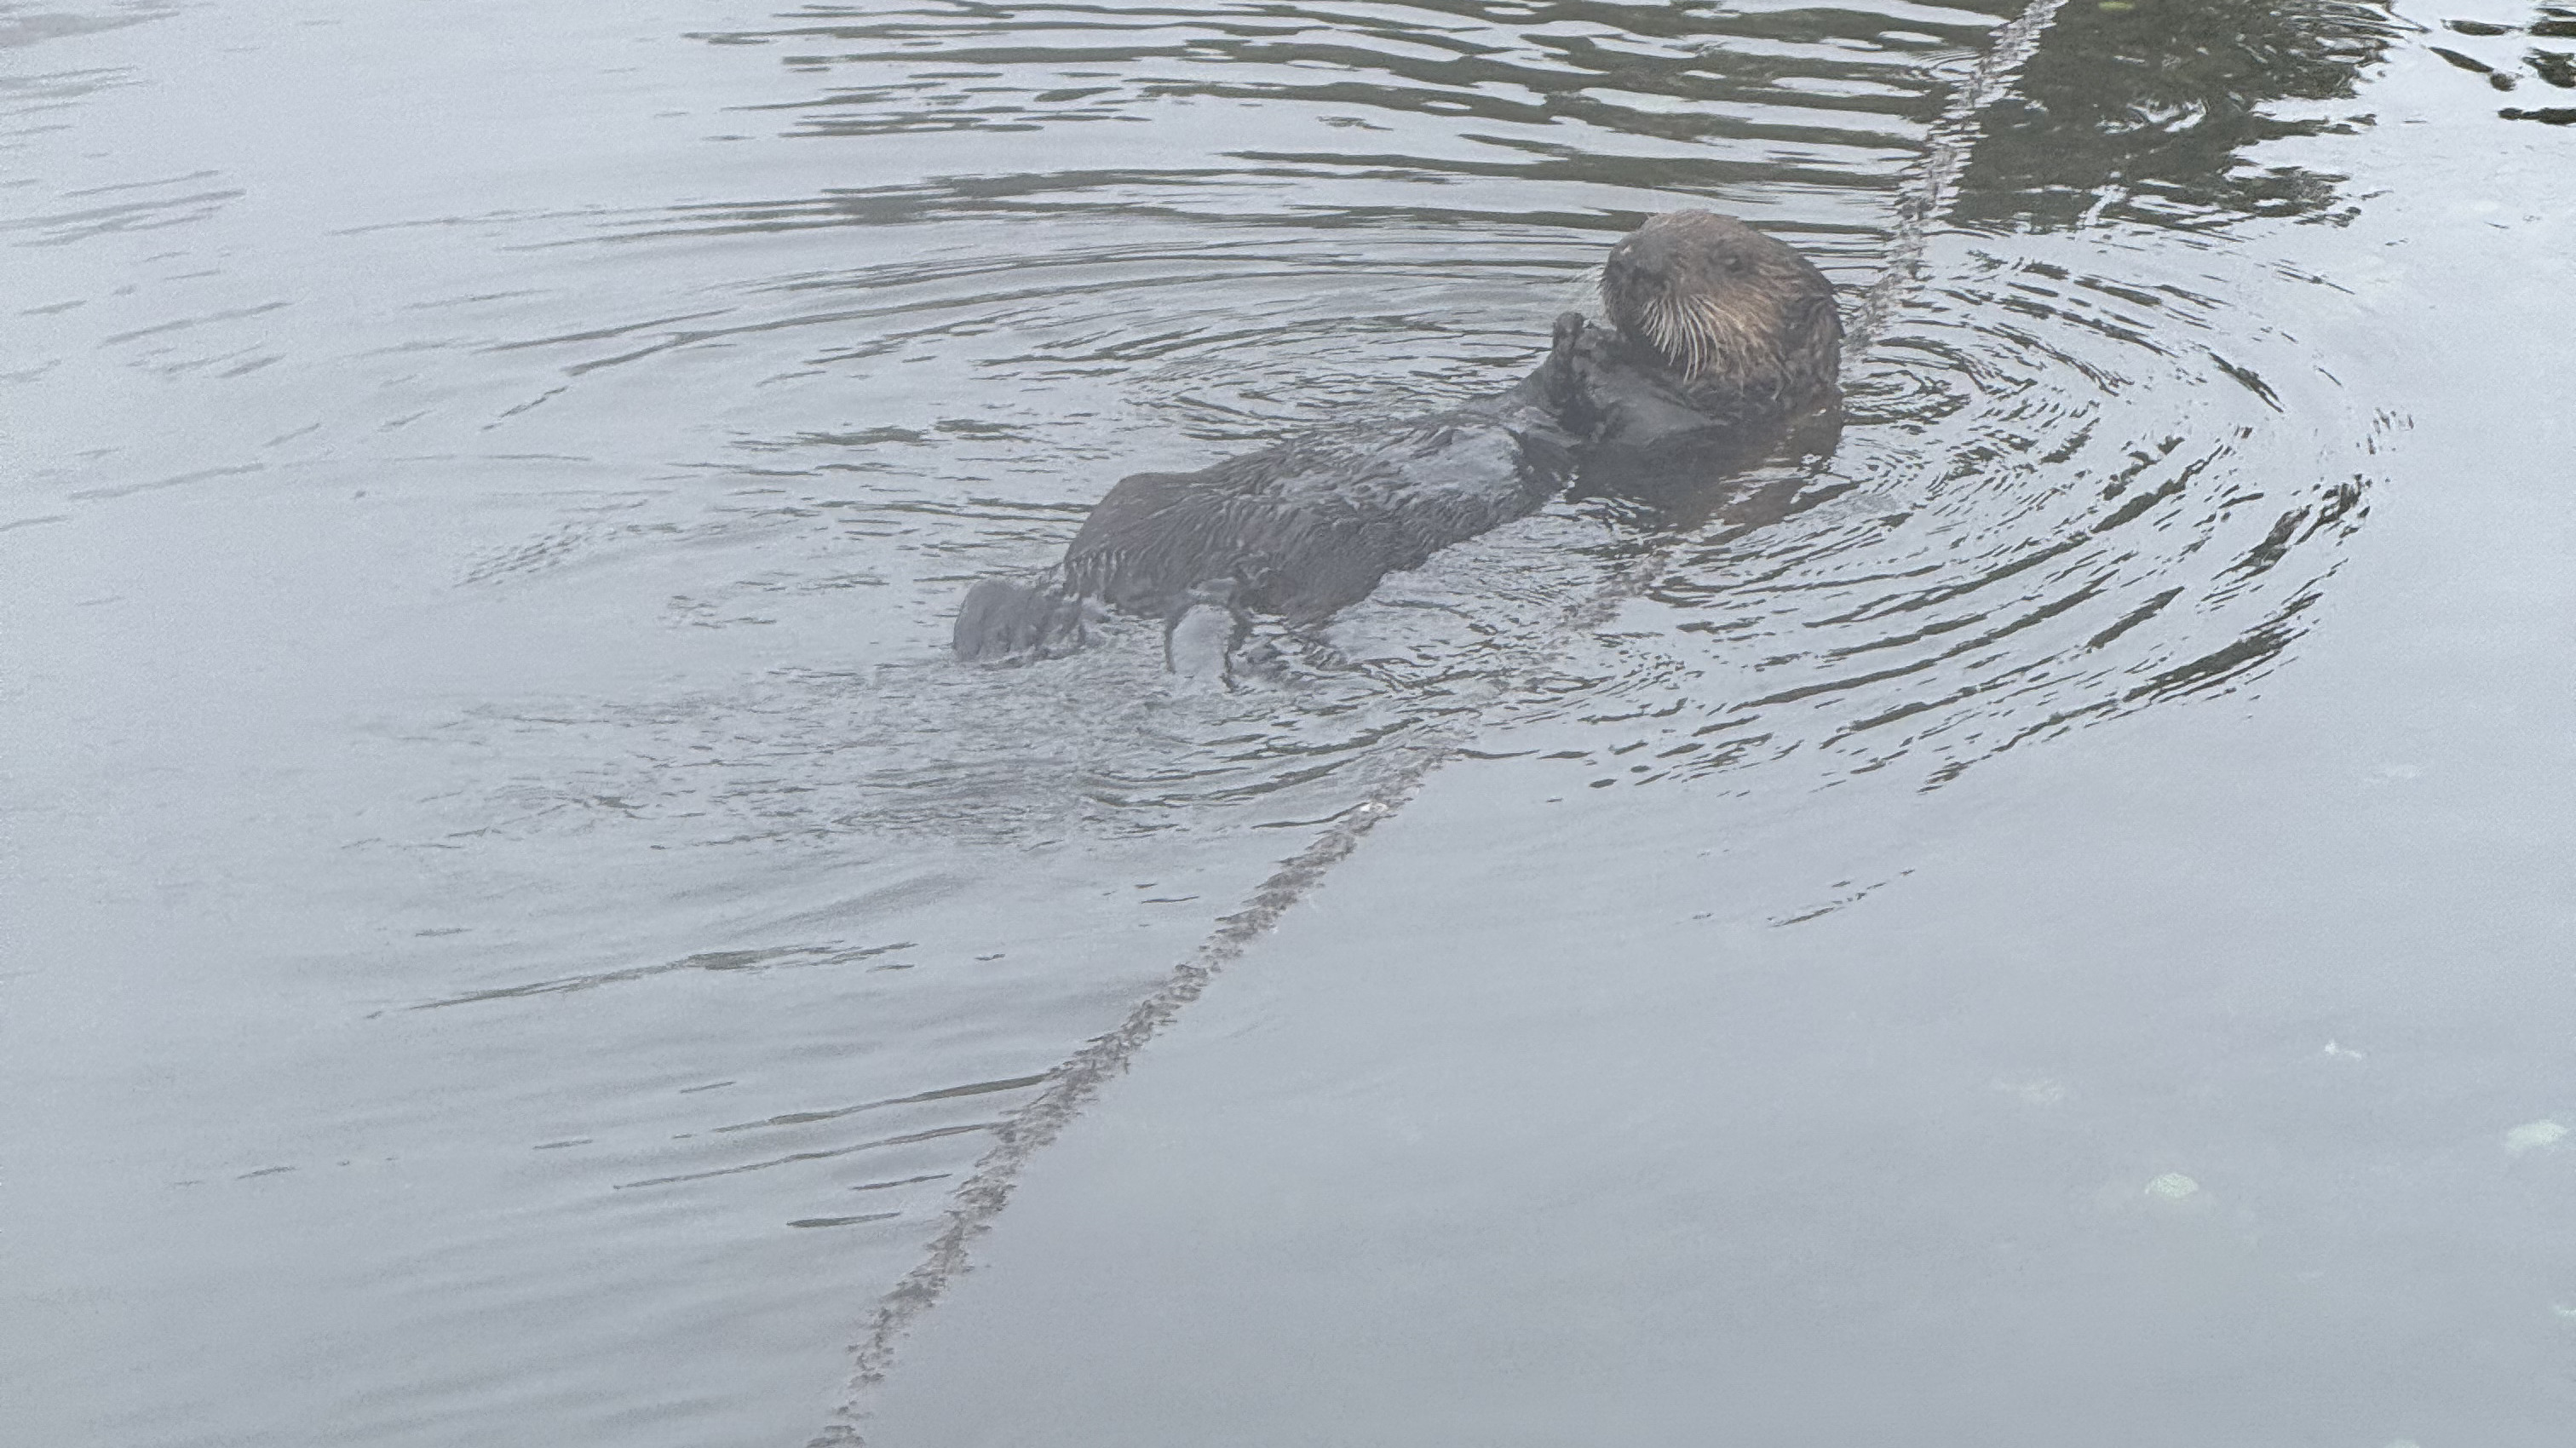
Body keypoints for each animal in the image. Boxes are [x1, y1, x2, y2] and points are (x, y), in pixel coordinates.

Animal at [952, 211, 1841, 663]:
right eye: (1652, 223)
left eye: (1728, 260)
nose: (1629, 260)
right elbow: (1542, 390)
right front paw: (1570, 333)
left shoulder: (1710, 428)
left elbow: (1640, 413)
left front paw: (1588, 349)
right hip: (1136, 499)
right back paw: (1008, 622)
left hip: (1322, 564)